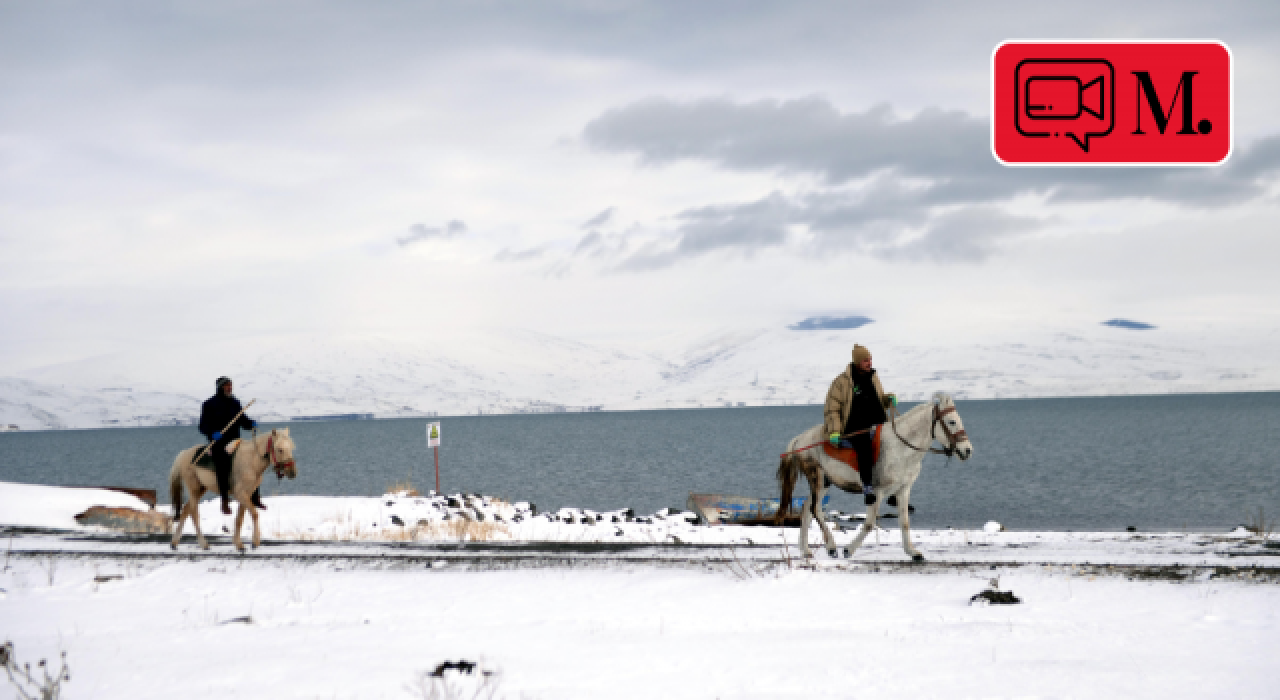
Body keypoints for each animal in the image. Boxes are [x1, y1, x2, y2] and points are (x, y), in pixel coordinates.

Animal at [168, 428, 298, 552]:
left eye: (291, 447)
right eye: (280, 449)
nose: (292, 472)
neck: (251, 461)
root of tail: (184, 454)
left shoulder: (246, 494)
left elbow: (239, 518)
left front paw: (239, 544)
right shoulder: (241, 494)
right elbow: (254, 514)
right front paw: (255, 542)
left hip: (201, 488)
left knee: (186, 510)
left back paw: (174, 543)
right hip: (194, 488)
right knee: (194, 514)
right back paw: (204, 544)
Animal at [775, 392, 972, 561]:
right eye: (952, 421)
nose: (967, 450)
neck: (901, 448)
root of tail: (799, 440)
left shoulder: (903, 490)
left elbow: (904, 522)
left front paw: (912, 552)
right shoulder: (877, 492)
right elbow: (869, 523)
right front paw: (848, 549)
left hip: (824, 483)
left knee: (807, 509)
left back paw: (805, 550)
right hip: (818, 477)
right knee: (815, 509)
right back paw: (831, 546)